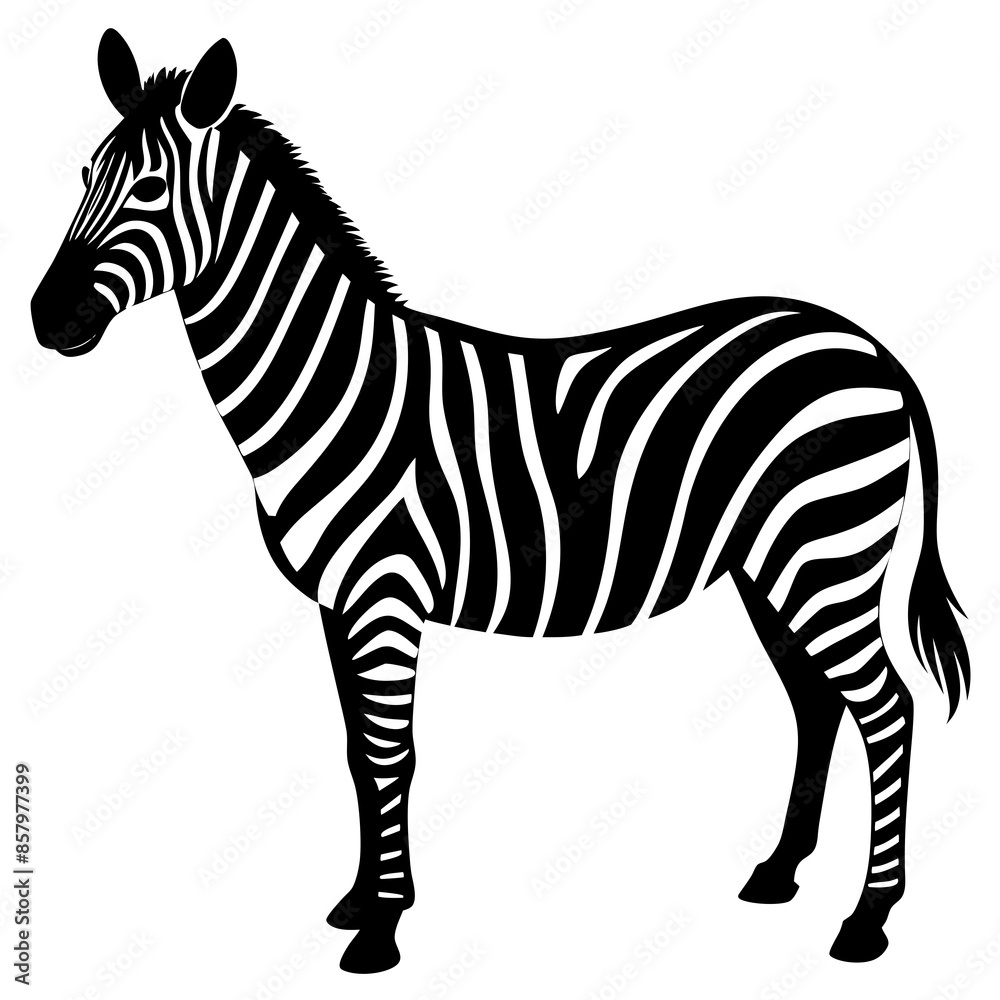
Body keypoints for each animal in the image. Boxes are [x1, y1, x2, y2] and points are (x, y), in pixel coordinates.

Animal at [31, 30, 970, 974]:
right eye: (81, 174)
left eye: (151, 188)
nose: (45, 319)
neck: (335, 385)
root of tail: (871, 348)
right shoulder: (338, 604)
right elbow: (356, 755)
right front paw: (358, 900)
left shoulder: (384, 595)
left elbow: (391, 753)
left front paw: (381, 929)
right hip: (773, 564)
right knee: (818, 702)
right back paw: (779, 873)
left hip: (826, 555)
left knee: (886, 709)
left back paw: (868, 919)